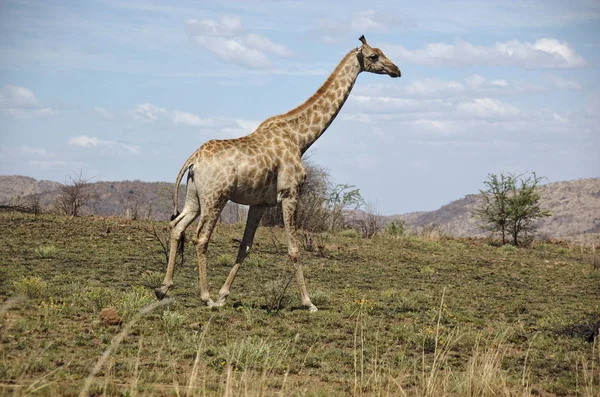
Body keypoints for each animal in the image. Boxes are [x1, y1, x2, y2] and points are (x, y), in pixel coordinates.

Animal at [155, 35, 400, 310]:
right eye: (373, 56)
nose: (396, 70)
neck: (300, 138)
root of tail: (194, 160)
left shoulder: (260, 203)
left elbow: (245, 246)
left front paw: (224, 295)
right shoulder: (290, 193)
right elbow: (294, 248)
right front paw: (308, 302)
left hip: (194, 197)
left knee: (177, 227)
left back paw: (163, 289)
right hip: (215, 198)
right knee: (200, 237)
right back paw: (205, 296)